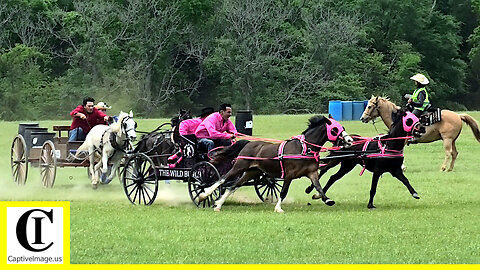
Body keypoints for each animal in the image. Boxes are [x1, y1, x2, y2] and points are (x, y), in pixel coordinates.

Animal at [198, 116, 352, 213]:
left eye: (342, 127)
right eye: (335, 130)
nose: (350, 140)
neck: (304, 148)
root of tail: (249, 143)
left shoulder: (312, 173)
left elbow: (319, 187)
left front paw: (327, 200)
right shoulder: (289, 175)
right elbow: (283, 191)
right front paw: (278, 208)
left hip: (252, 172)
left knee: (233, 186)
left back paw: (218, 205)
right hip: (239, 166)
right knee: (222, 179)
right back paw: (204, 194)